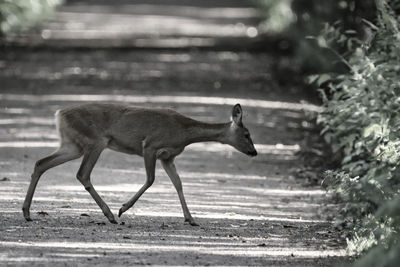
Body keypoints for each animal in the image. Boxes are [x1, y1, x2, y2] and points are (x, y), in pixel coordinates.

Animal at [21, 102, 258, 226]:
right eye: (247, 134)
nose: (254, 152)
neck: (184, 133)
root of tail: (59, 114)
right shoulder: (150, 146)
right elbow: (151, 180)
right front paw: (123, 208)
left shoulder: (168, 157)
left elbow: (178, 184)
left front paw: (191, 219)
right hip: (95, 141)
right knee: (82, 173)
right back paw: (110, 215)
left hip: (72, 145)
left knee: (41, 163)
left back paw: (27, 212)